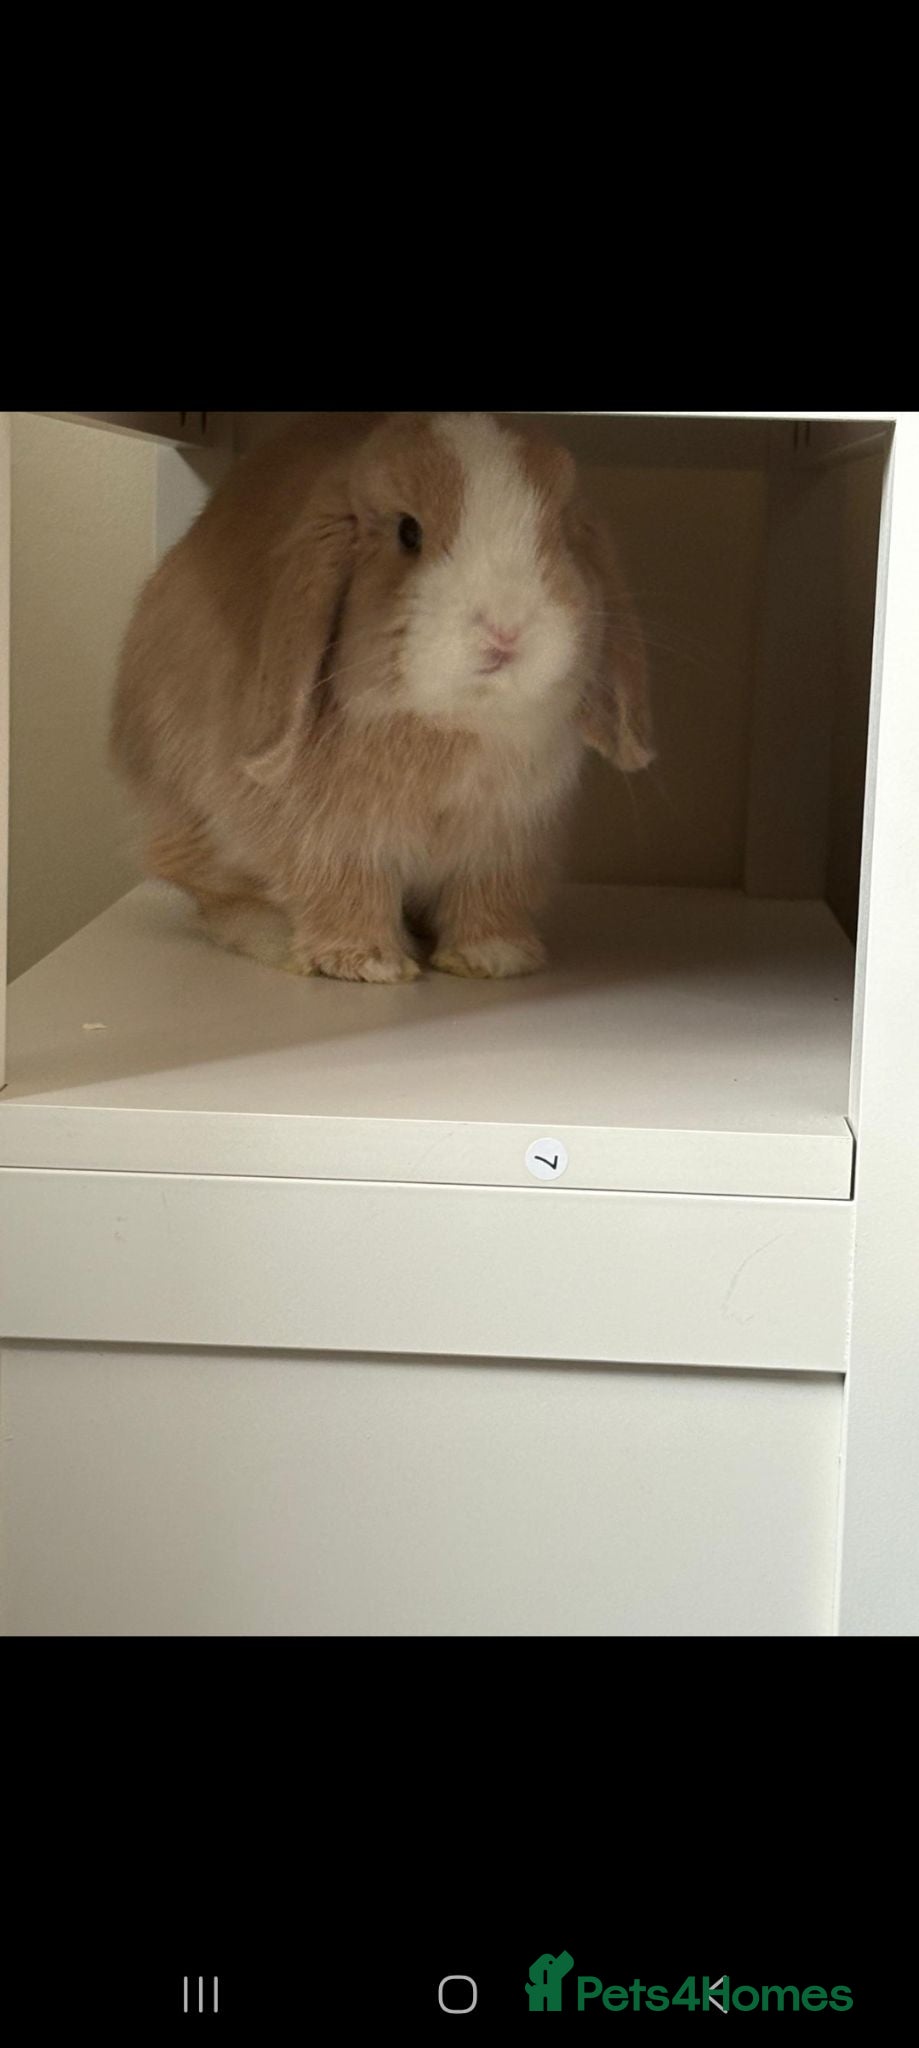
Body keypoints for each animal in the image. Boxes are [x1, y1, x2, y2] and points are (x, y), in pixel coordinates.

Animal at [111, 411, 653, 983]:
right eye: (407, 532)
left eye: (558, 535)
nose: (506, 630)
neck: (457, 724)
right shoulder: (332, 838)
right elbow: (346, 891)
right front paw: (367, 964)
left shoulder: (505, 843)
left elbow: (487, 898)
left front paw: (494, 958)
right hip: (191, 821)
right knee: (215, 899)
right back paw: (276, 940)